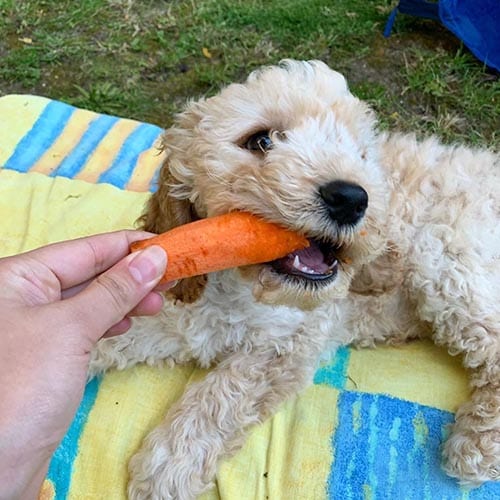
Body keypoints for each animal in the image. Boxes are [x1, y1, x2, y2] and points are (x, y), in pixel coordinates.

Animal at [88, 59, 498, 500]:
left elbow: (225, 393)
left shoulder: (289, 343)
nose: (351, 198)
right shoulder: (187, 310)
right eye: (261, 140)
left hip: (446, 261)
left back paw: (478, 444)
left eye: (360, 154)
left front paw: (169, 463)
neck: (240, 287)